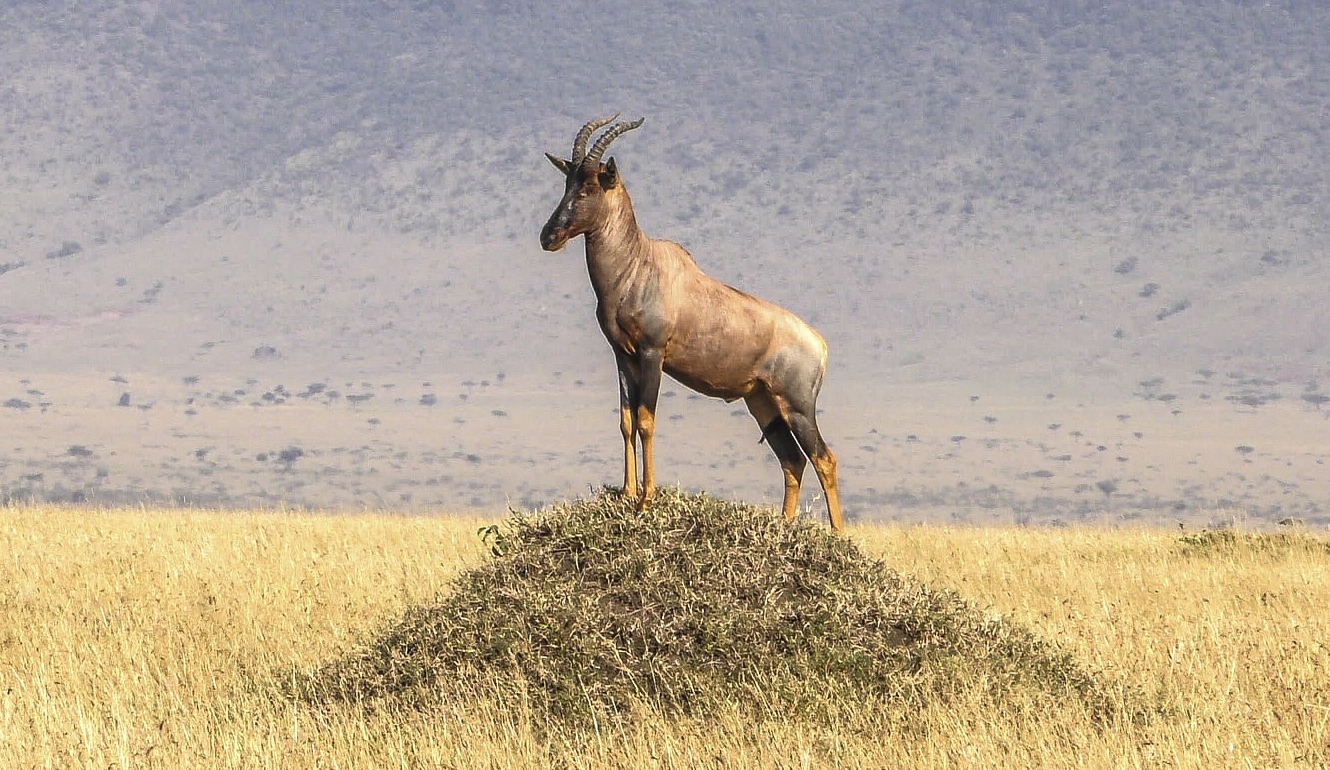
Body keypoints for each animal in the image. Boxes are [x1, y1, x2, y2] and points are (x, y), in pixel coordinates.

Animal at [540, 115, 844, 532]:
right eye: (566, 184)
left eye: (589, 187)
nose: (549, 236)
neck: (639, 263)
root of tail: (820, 345)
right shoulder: (623, 355)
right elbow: (626, 421)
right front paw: (627, 494)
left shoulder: (653, 353)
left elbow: (646, 419)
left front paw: (646, 500)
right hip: (762, 402)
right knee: (792, 460)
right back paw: (782, 528)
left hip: (797, 405)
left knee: (823, 458)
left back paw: (840, 536)